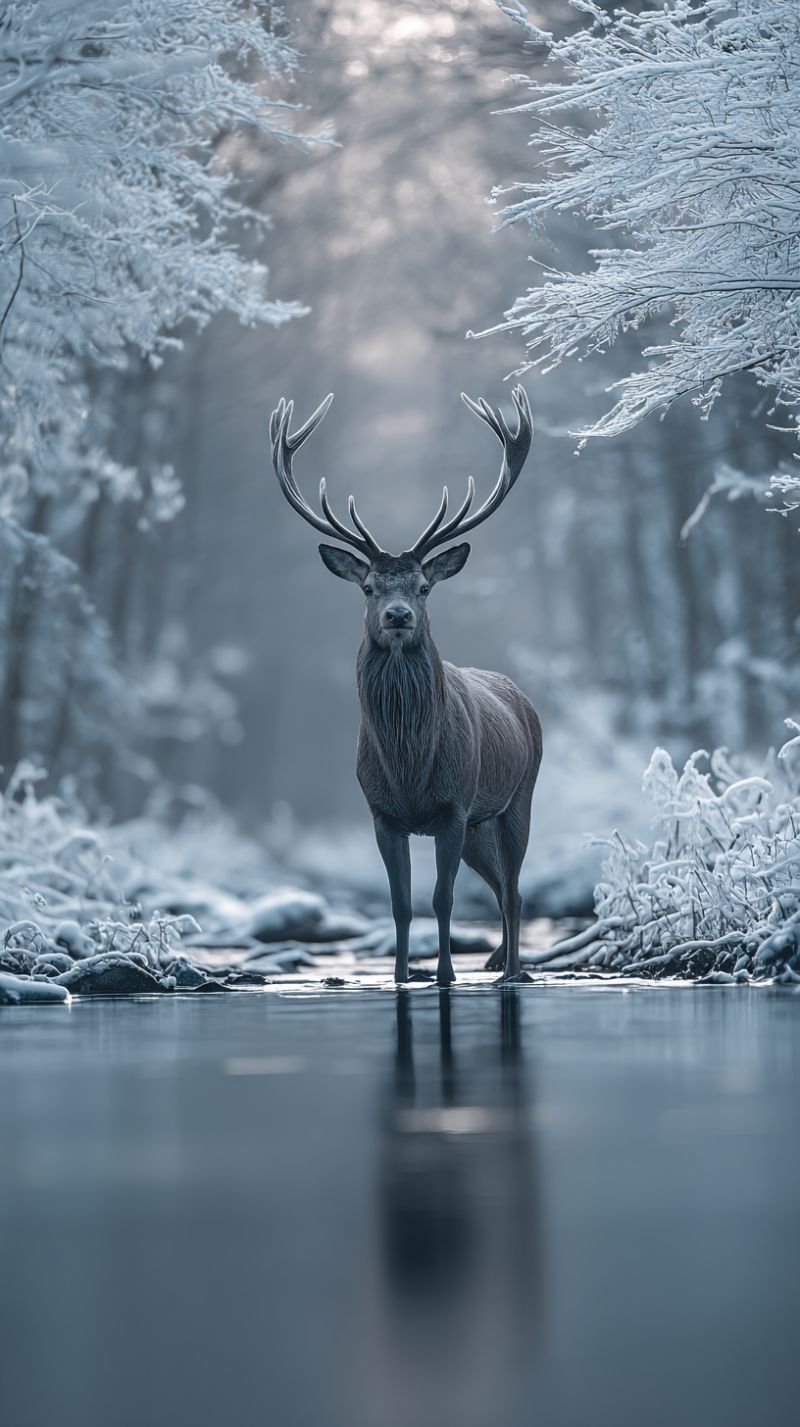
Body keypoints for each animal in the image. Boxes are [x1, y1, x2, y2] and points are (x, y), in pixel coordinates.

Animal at [267, 386, 542, 985]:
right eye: (369, 586)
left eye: (423, 586)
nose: (397, 615)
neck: (410, 763)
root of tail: (523, 699)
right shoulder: (382, 813)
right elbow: (399, 902)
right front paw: (399, 975)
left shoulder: (452, 804)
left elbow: (441, 899)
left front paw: (445, 975)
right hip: (480, 823)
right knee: (499, 886)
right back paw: (501, 964)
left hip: (518, 795)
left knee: (513, 890)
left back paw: (512, 972)